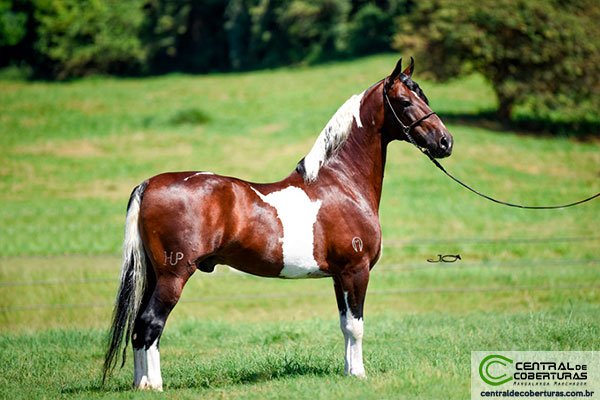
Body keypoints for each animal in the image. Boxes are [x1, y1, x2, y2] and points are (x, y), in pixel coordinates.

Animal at [103, 57, 452, 390]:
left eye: (423, 95)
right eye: (404, 101)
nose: (445, 142)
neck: (342, 183)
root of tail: (149, 184)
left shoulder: (339, 276)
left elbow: (344, 324)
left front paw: (347, 372)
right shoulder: (356, 270)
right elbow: (356, 326)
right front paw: (359, 375)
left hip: (154, 275)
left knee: (138, 327)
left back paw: (140, 383)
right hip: (173, 275)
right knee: (151, 323)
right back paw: (154, 385)